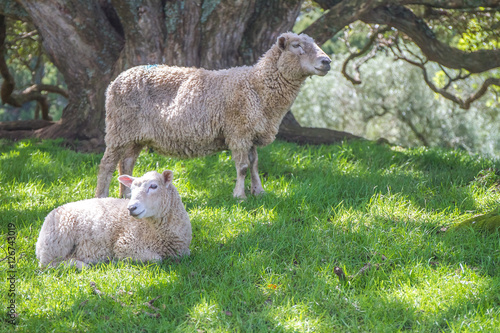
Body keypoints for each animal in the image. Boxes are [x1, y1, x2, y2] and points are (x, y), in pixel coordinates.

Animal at [35, 170, 191, 268]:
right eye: (131, 190)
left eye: (153, 186)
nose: (131, 208)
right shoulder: (125, 244)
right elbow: (157, 259)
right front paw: (120, 261)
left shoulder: (183, 251)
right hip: (57, 241)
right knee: (49, 264)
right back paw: (82, 265)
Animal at [97, 31, 332, 197]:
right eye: (297, 46)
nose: (327, 61)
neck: (257, 86)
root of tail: (115, 81)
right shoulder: (238, 131)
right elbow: (243, 167)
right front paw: (240, 196)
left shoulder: (251, 132)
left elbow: (255, 164)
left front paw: (259, 192)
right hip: (119, 129)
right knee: (106, 166)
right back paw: (102, 197)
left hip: (135, 135)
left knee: (126, 163)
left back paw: (127, 196)